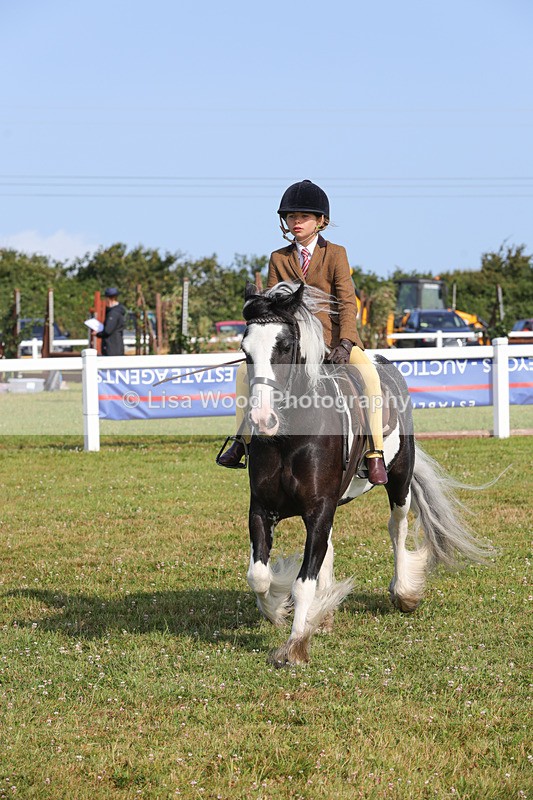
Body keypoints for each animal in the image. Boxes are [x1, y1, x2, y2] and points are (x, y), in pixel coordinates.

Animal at [239, 280, 492, 667]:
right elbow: (260, 577)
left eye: (284, 346)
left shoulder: (319, 509)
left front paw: (296, 644)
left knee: (397, 527)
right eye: (245, 350)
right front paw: (283, 610)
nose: (262, 420)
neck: (289, 438)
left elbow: (303, 582)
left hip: (399, 480)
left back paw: (403, 593)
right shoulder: (263, 508)